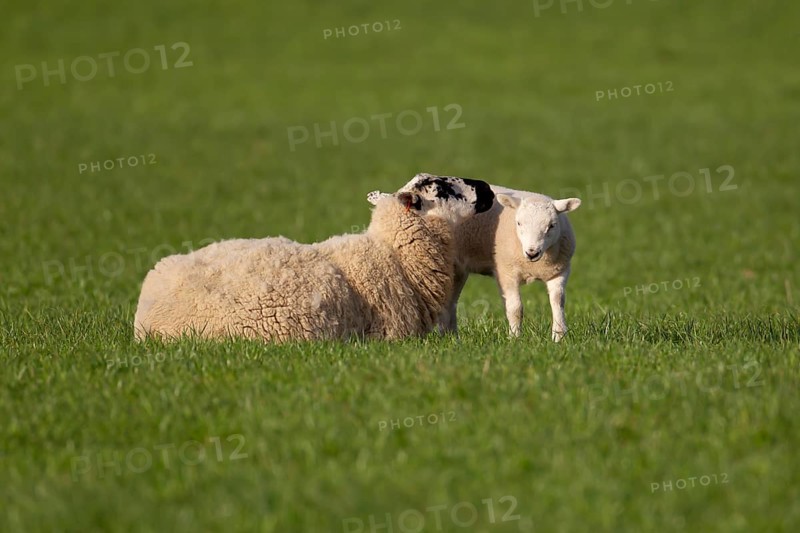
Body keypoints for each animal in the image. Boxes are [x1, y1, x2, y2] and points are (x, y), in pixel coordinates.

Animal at [369, 177, 580, 341]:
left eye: (552, 225)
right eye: (519, 223)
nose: (532, 252)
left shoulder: (560, 272)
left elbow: (558, 302)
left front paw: (559, 337)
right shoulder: (506, 273)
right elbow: (515, 308)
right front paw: (515, 339)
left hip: (458, 271)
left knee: (451, 304)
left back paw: (452, 338)